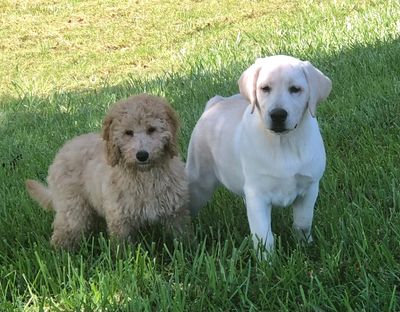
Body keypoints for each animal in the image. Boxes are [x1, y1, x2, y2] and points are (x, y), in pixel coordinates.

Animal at [25, 92, 190, 249]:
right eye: (128, 132)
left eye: (151, 129)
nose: (142, 155)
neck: (144, 175)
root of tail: (62, 150)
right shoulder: (119, 217)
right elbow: (122, 246)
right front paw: (123, 257)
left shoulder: (176, 213)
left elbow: (181, 236)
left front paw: (186, 249)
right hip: (71, 207)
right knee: (66, 230)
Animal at [186, 55, 332, 254]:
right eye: (265, 88)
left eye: (295, 89)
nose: (278, 114)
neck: (283, 142)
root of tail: (215, 103)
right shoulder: (257, 194)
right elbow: (264, 235)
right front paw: (267, 260)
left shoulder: (309, 188)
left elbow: (303, 223)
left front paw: (305, 246)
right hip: (199, 180)